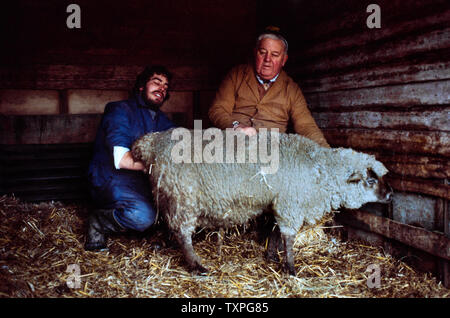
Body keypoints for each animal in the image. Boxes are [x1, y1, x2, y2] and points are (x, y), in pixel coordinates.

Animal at [132, 128, 392, 274]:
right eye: (370, 180)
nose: (390, 193)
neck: (319, 171)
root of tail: (151, 143)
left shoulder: (278, 203)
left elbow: (275, 232)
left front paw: (272, 256)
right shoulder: (290, 204)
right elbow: (288, 238)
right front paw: (290, 268)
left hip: (171, 198)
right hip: (183, 197)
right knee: (183, 234)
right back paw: (196, 266)